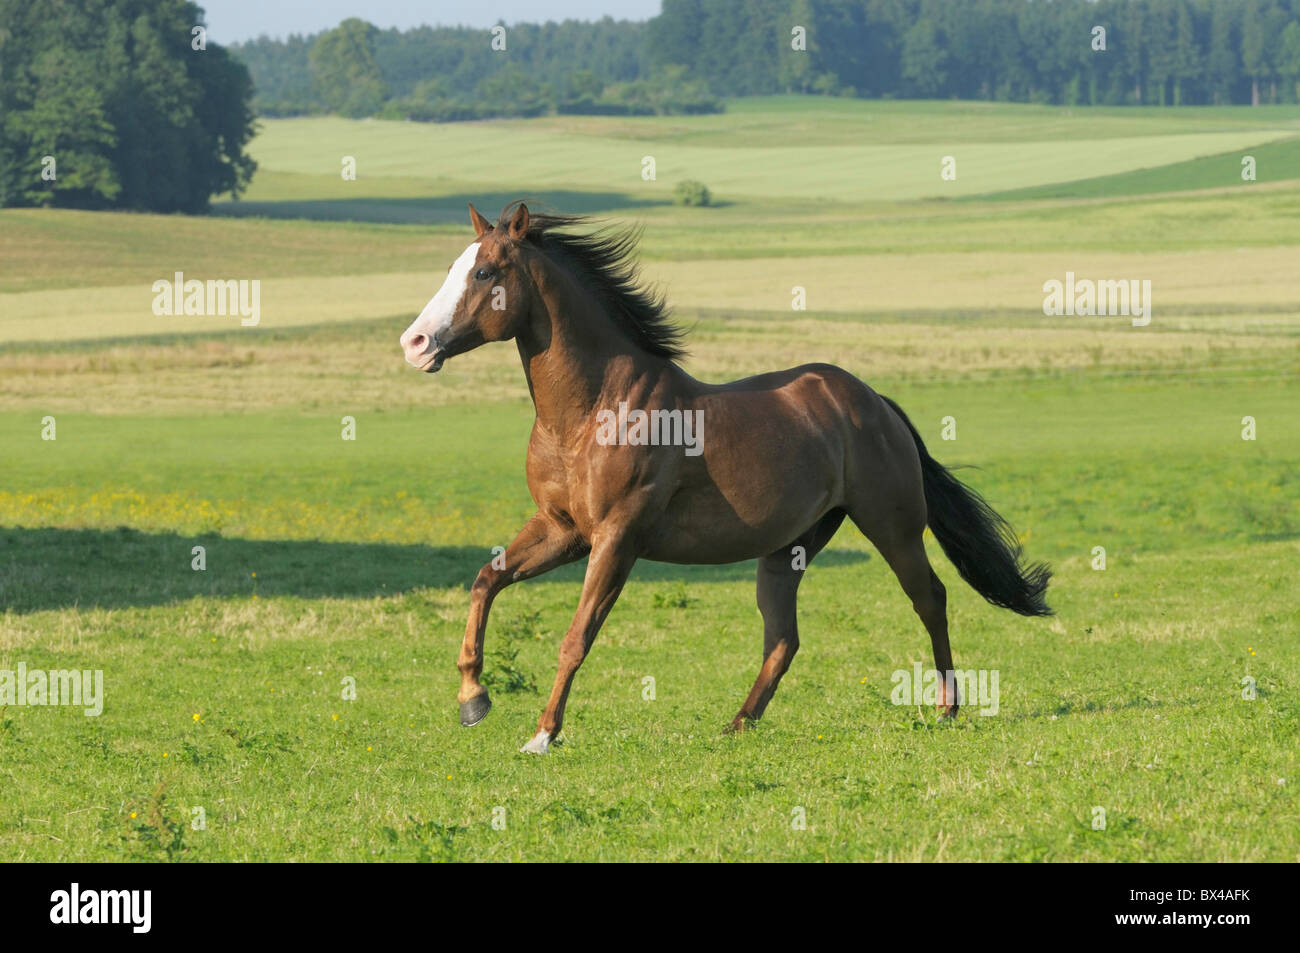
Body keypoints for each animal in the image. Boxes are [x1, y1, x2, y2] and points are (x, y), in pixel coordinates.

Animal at [392, 204, 1045, 754]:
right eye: (454, 268)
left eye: (484, 272)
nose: (414, 343)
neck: (590, 412)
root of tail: (874, 401)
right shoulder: (562, 530)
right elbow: (486, 581)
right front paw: (473, 700)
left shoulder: (616, 539)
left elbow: (576, 636)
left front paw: (542, 736)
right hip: (789, 548)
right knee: (783, 638)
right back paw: (737, 724)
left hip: (892, 527)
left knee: (929, 598)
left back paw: (946, 709)